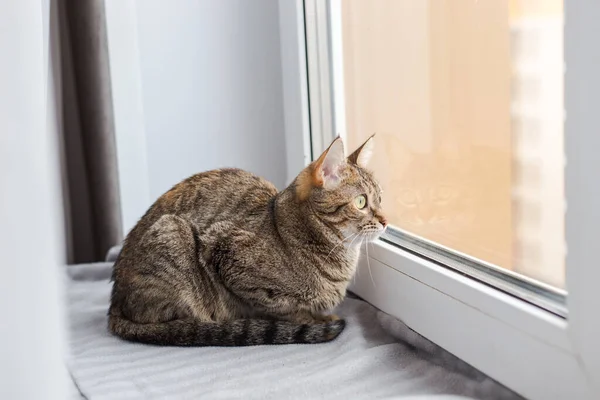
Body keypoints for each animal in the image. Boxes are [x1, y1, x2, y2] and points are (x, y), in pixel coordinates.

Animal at [108, 136, 386, 346]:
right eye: (361, 202)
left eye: (380, 198)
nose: (385, 220)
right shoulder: (226, 254)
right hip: (173, 232)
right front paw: (314, 319)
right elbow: (283, 308)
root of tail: (115, 302)